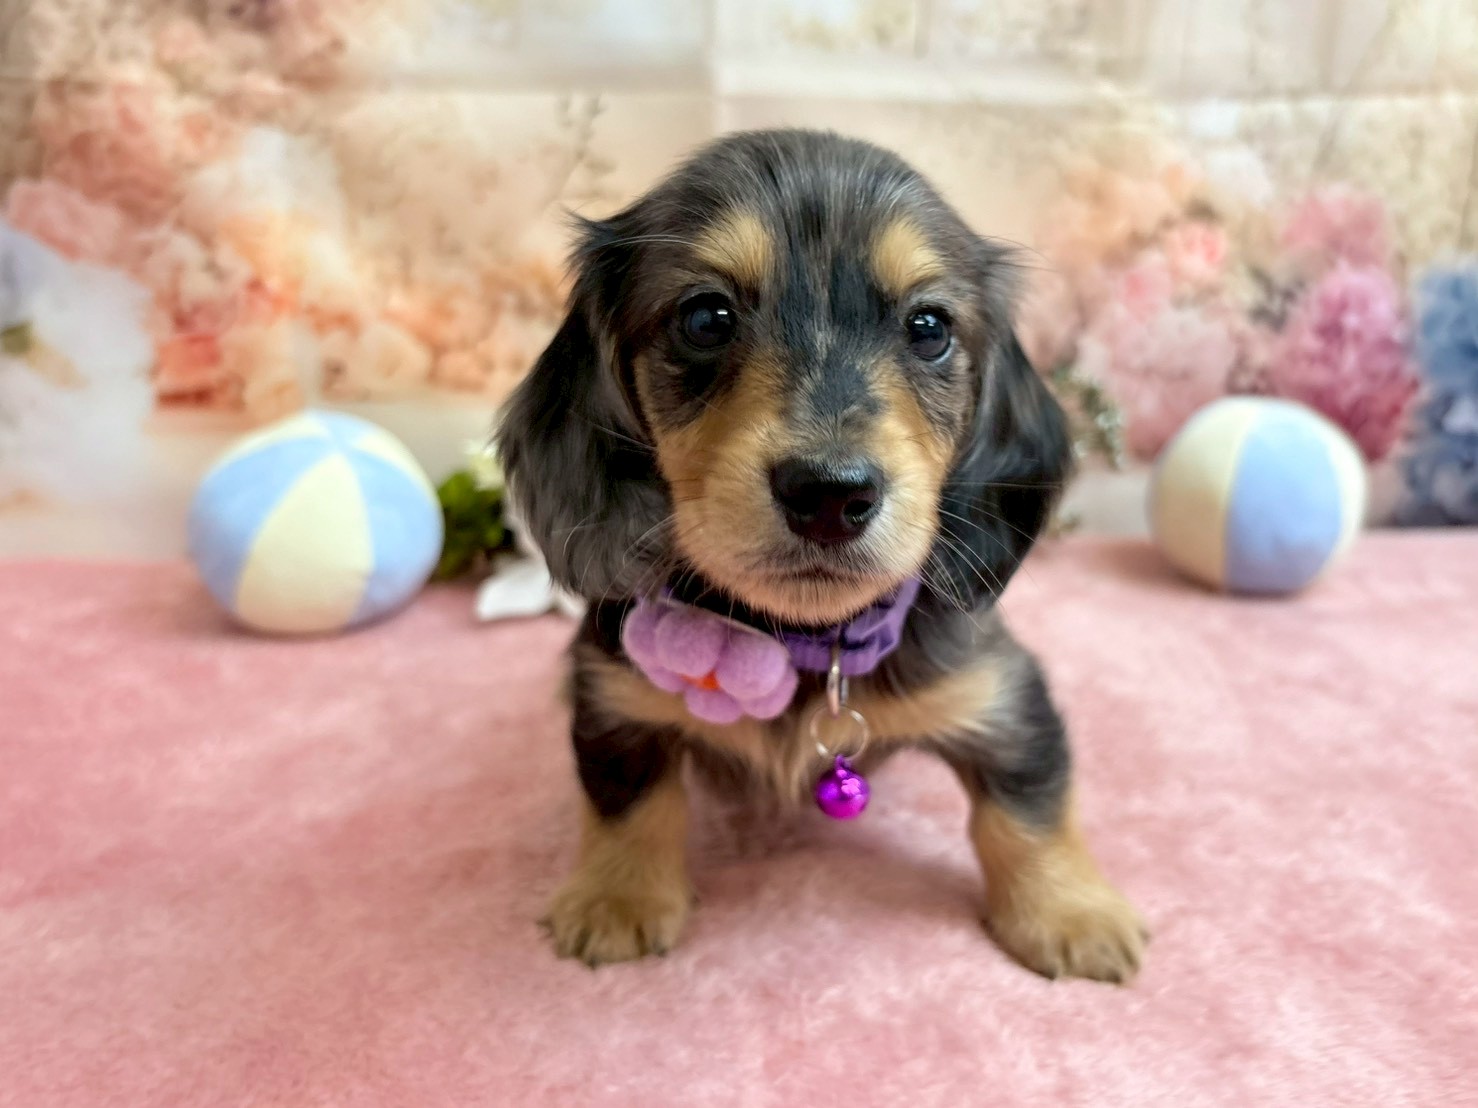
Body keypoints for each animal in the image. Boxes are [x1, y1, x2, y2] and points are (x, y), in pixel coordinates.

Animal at [498, 129, 1146, 983]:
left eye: (929, 326)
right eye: (705, 317)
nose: (831, 495)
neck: (799, 643)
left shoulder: (1001, 690)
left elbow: (1029, 799)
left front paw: (1072, 911)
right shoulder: (612, 691)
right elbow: (628, 796)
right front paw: (618, 898)